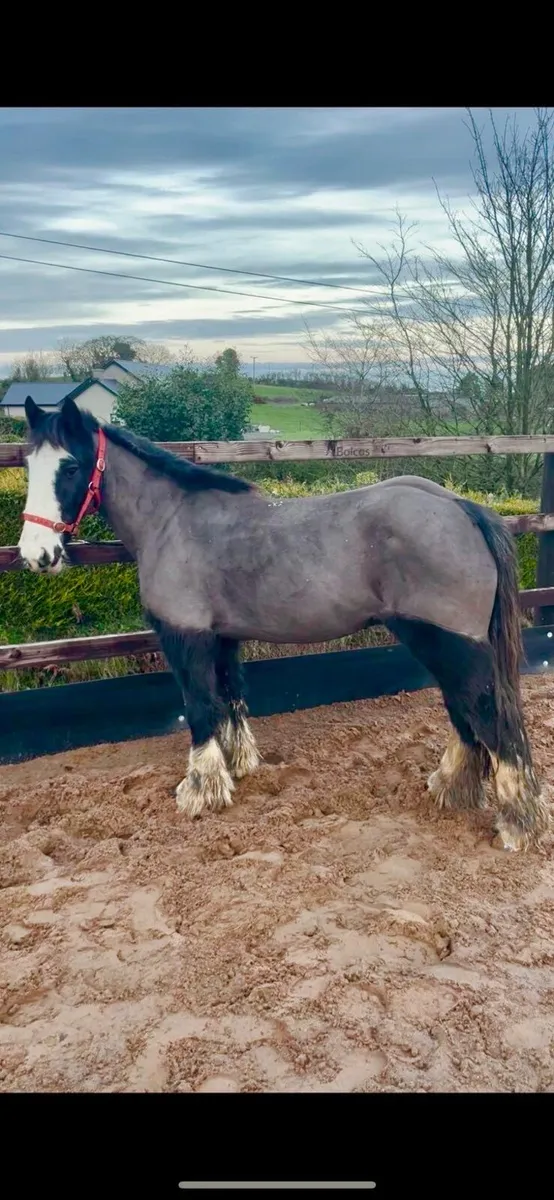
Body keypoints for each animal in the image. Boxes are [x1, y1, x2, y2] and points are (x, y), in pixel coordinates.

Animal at [18, 394, 550, 852]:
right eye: (26, 464)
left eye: (69, 466)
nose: (35, 555)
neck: (173, 521)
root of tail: (463, 508)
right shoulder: (221, 637)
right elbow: (229, 699)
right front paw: (238, 767)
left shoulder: (185, 637)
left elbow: (200, 707)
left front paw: (200, 791)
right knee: (465, 713)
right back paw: (452, 788)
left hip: (447, 643)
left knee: (490, 718)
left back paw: (517, 824)